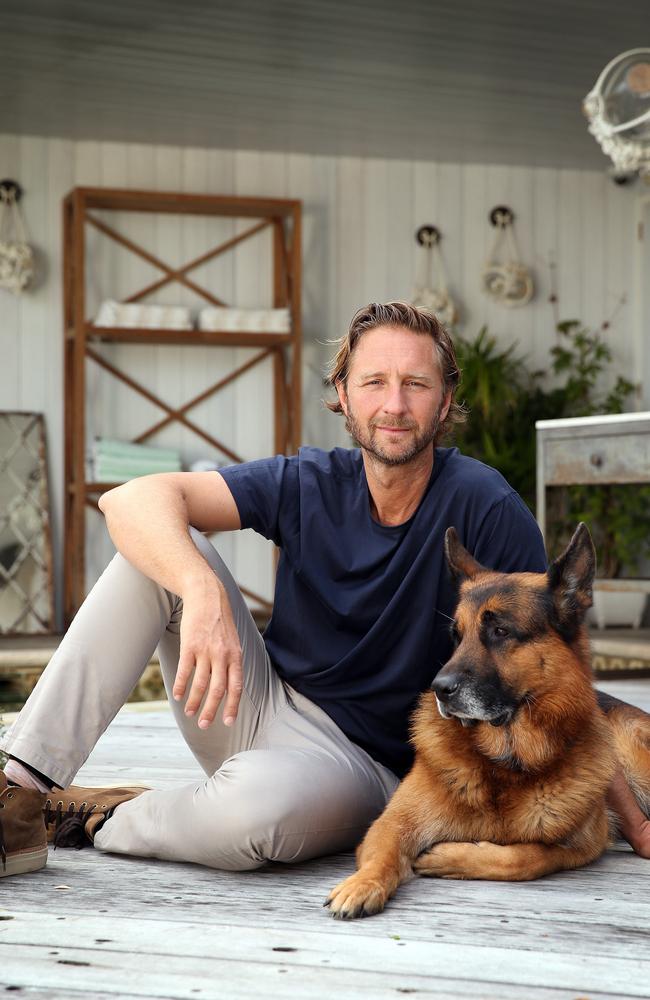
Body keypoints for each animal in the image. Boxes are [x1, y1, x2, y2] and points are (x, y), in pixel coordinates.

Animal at [324, 524, 648, 920]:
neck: (506, 760)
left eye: (500, 632)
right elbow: (383, 856)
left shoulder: (585, 843)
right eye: (456, 636)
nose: (439, 689)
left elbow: (524, 858)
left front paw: (450, 857)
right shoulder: (390, 824)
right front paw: (362, 884)